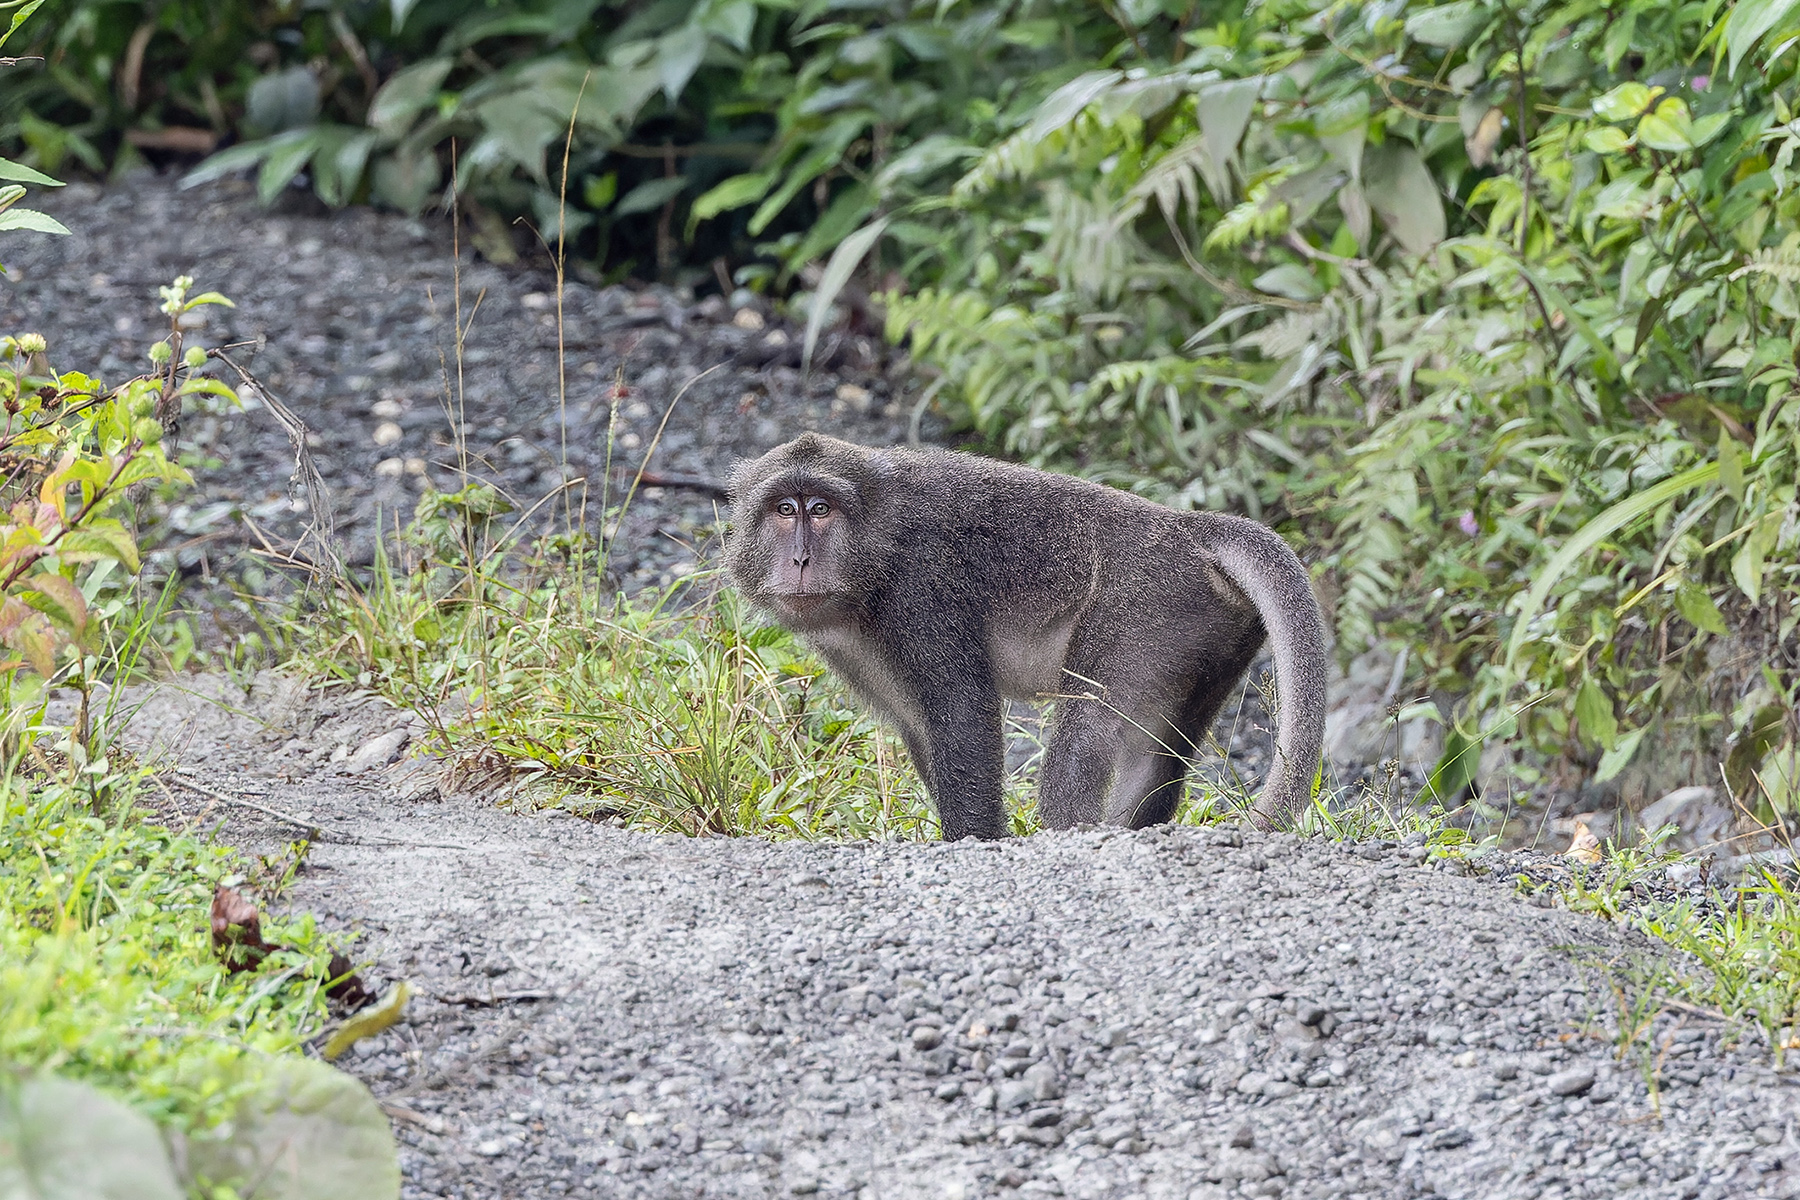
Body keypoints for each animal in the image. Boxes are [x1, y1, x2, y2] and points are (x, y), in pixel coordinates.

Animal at [724, 432, 1328, 841]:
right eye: (785, 510)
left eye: (820, 509)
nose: (800, 559)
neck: (879, 553)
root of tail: (1189, 529)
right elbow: (919, 728)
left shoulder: (924, 593)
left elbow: (963, 719)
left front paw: (974, 841)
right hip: (1207, 633)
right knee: (1157, 755)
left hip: (1142, 606)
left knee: (1085, 730)